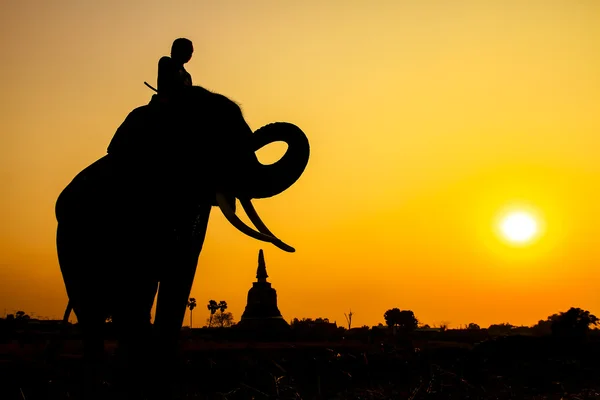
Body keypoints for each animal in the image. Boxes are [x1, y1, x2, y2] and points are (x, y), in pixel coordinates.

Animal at [55, 85, 310, 396]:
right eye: (210, 138)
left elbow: (181, 268)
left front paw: (159, 380)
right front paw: (145, 381)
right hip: (68, 241)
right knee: (92, 305)